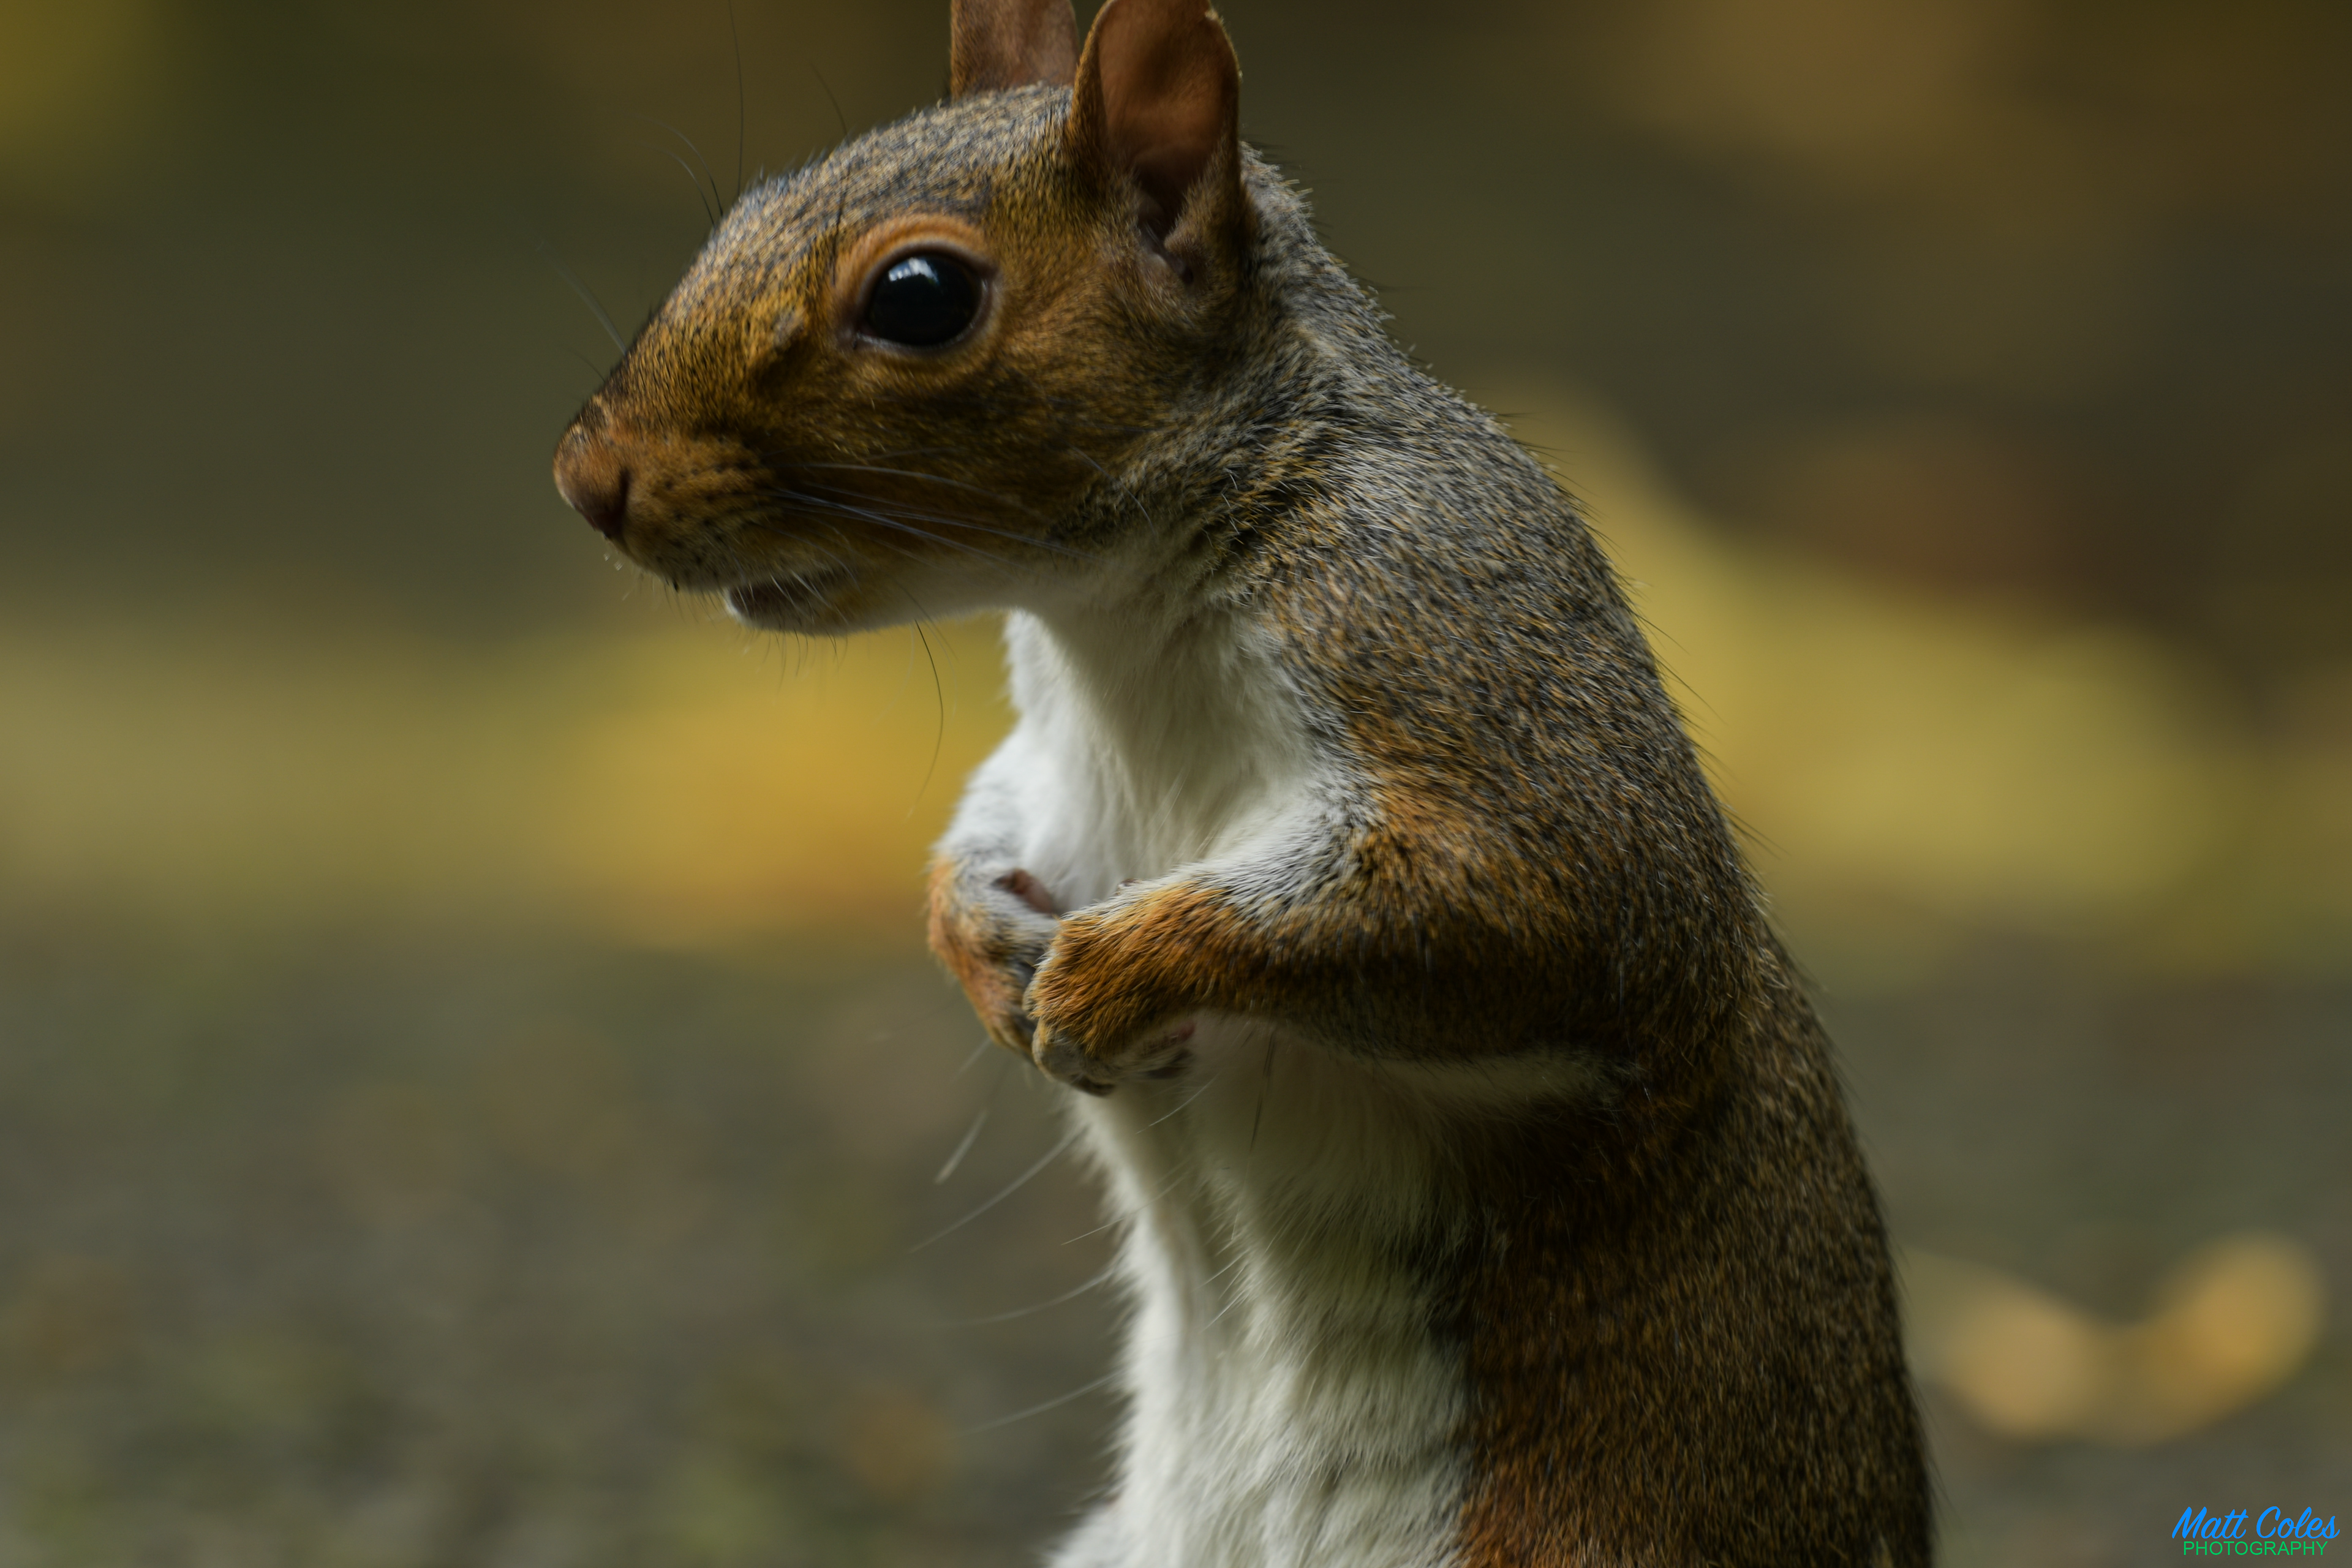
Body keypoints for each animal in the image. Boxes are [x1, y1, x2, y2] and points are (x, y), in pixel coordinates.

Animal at [552, 0, 1932, 1563]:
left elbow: (1518, 904)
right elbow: (986, 823)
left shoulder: (1450, 654)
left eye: (919, 295)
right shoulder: (1049, 759)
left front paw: (1113, 972)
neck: (1119, 620)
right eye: (754, 199)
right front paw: (977, 939)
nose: (588, 477)